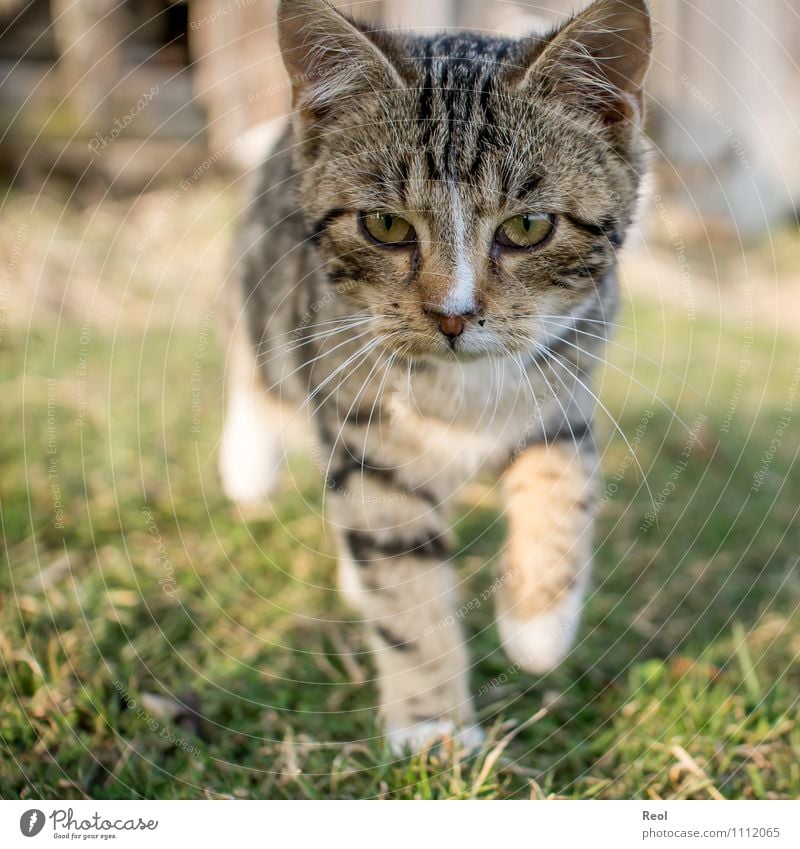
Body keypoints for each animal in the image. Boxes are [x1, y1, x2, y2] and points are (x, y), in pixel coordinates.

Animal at [217, 0, 648, 752]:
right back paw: (247, 462)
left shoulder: (565, 384)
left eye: (529, 226)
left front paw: (538, 625)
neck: (461, 390)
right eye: (385, 225)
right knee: (255, 362)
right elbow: (403, 575)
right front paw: (432, 725)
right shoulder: (366, 428)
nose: (454, 315)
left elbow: (561, 486)